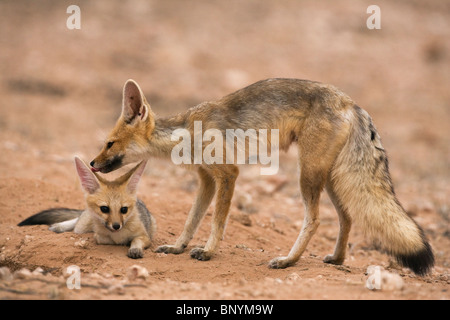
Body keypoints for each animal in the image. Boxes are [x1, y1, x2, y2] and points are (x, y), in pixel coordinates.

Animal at [18, 156, 156, 258]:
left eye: (124, 210)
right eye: (104, 209)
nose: (116, 226)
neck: (117, 235)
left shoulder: (146, 237)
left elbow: (136, 240)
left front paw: (134, 248)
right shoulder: (100, 236)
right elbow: (101, 238)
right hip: (82, 226)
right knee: (77, 221)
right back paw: (59, 226)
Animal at [90, 77, 432, 276]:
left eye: (110, 144)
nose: (92, 163)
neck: (186, 133)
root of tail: (351, 102)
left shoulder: (228, 174)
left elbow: (216, 222)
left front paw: (208, 252)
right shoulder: (206, 179)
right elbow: (191, 220)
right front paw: (178, 247)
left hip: (309, 175)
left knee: (315, 220)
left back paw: (288, 261)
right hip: (331, 178)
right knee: (346, 217)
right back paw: (336, 259)